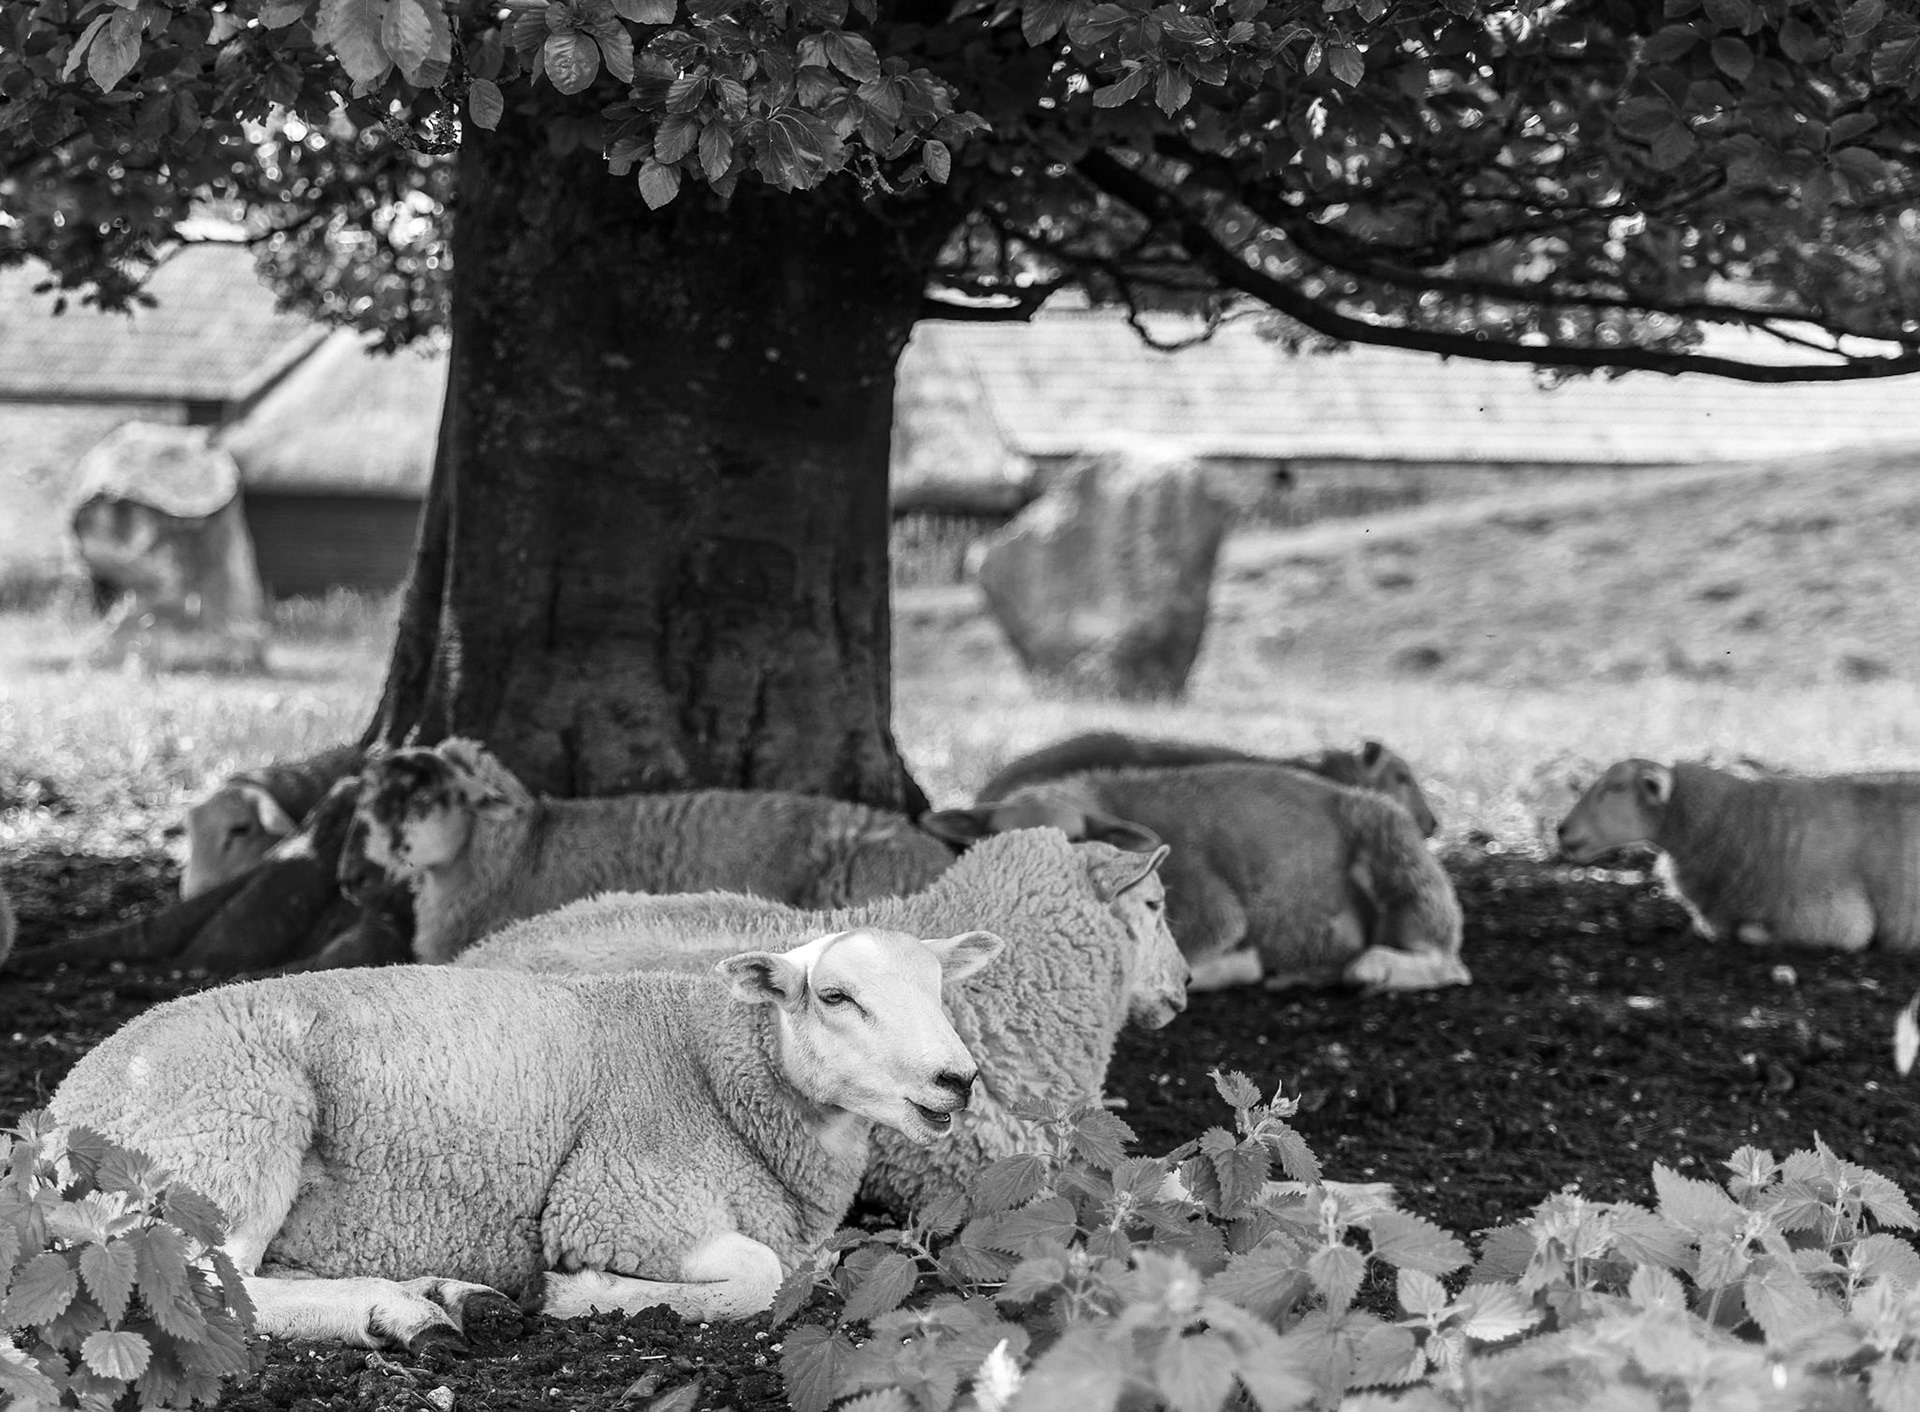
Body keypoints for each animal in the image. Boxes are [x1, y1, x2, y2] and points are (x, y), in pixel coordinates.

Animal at [50, 925, 1004, 1347]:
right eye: (835, 996)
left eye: (939, 988)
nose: (957, 1079)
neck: (708, 1062)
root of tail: (64, 1104)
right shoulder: (618, 1197)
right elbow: (759, 1277)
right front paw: (582, 1296)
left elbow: (816, 1266)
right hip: (232, 1131)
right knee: (208, 1291)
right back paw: (399, 1313)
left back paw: (448, 1295)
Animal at [921, 762, 1468, 995]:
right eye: (993, 845)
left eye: (1074, 842)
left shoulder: (1211, 914)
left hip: (1394, 849)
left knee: (1447, 961)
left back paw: (1370, 968)